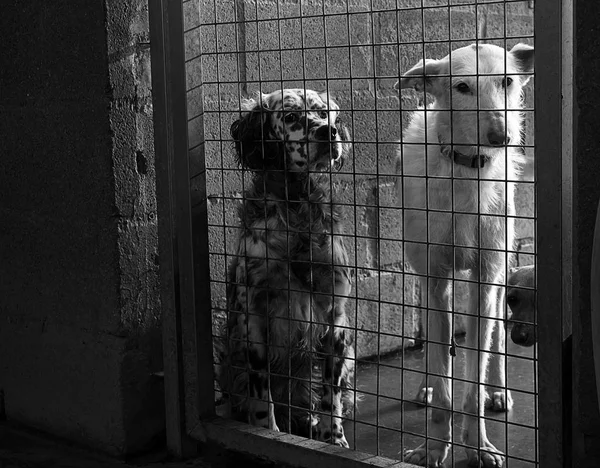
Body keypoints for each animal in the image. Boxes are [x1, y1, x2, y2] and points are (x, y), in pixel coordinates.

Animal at [221, 87, 356, 446]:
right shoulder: (253, 317)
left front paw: (333, 436)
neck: (295, 205)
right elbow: (261, 392)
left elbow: (330, 393)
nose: (328, 133)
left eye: (323, 113)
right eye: (291, 116)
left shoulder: (334, 316)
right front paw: (266, 431)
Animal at [394, 42, 536, 466]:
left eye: (507, 80)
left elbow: (473, 382)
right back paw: (425, 385)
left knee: (496, 341)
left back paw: (498, 389)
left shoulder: (485, 282)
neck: (466, 172)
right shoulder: (434, 280)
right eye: (461, 87)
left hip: (498, 275)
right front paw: (433, 448)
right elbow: (444, 384)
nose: (501, 136)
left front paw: (479, 446)